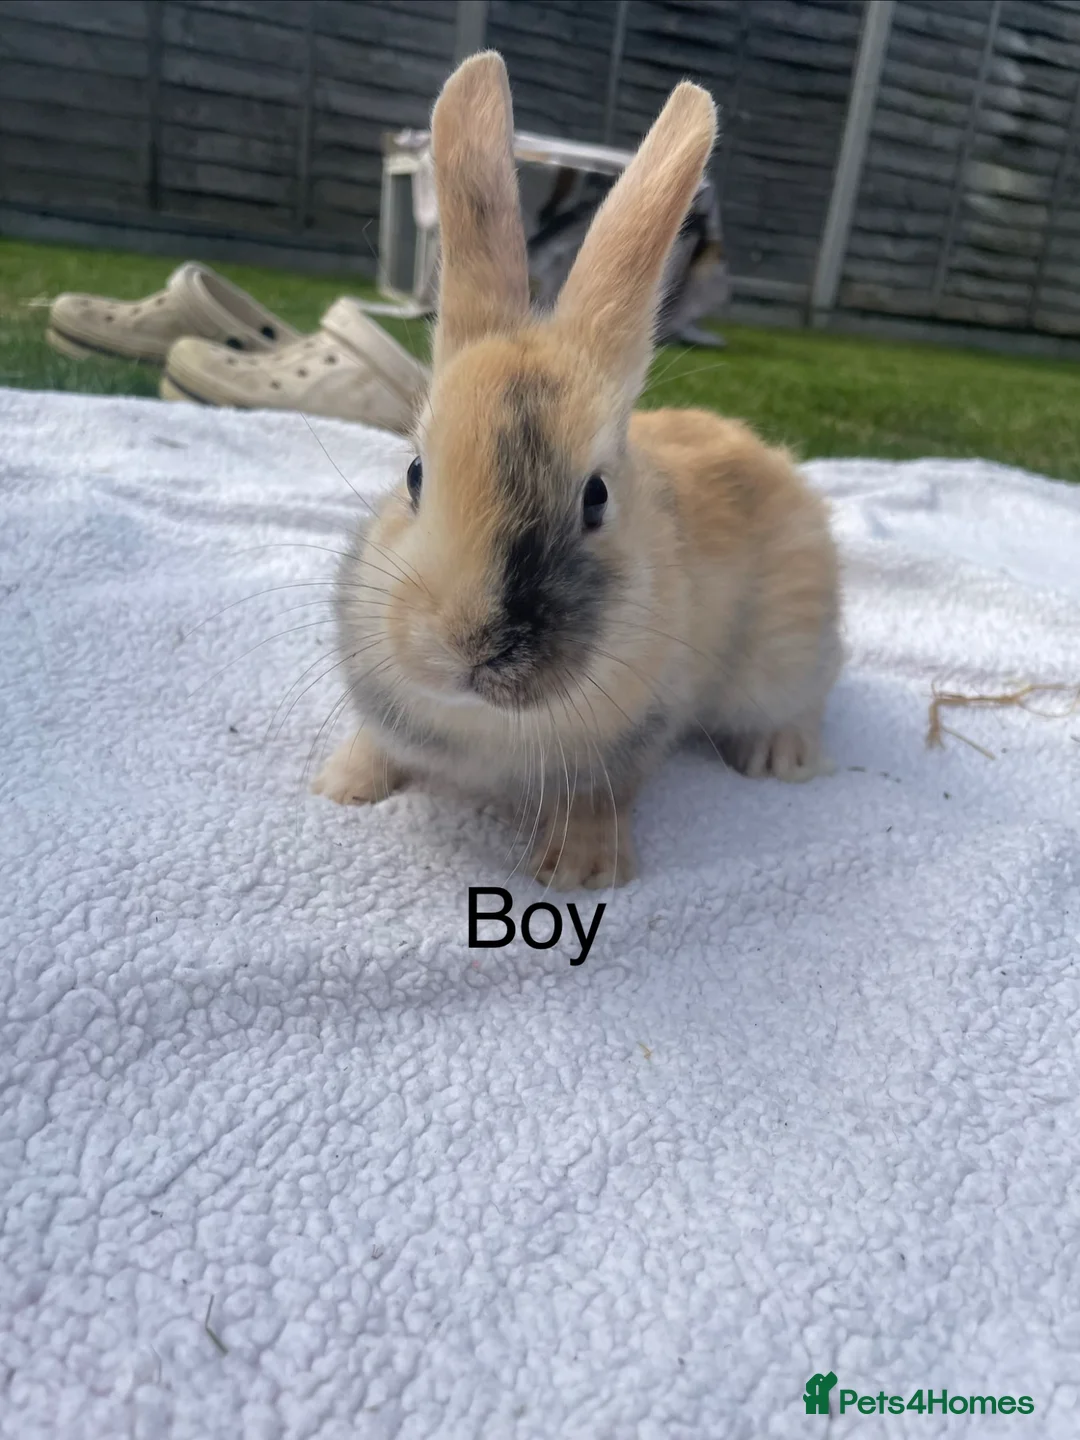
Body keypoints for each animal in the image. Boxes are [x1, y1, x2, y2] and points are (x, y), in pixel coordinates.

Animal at [312, 51, 841, 891]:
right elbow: (376, 745)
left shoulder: (627, 746)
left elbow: (602, 795)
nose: (472, 644)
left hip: (786, 649)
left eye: (595, 498)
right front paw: (342, 787)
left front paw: (582, 872)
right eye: (415, 474)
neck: (487, 724)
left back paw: (776, 757)